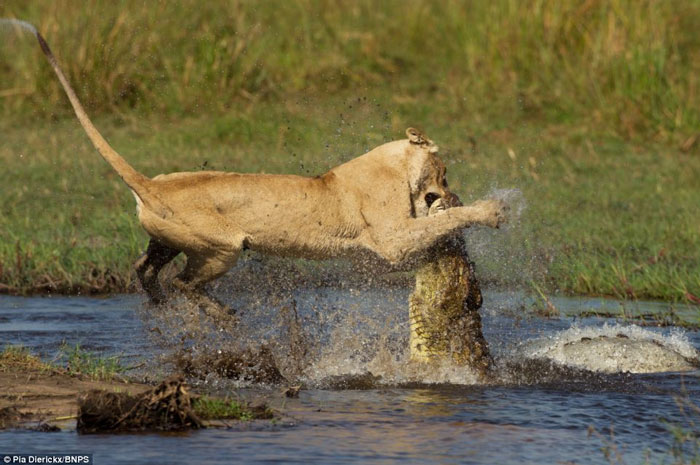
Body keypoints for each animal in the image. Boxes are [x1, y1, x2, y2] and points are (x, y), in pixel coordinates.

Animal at [9, 20, 506, 309]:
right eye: (445, 173)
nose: (449, 192)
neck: (394, 164)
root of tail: (150, 182)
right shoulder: (392, 241)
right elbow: (440, 224)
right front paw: (490, 210)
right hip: (223, 247)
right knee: (186, 284)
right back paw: (219, 315)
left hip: (168, 237)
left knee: (144, 265)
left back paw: (158, 303)